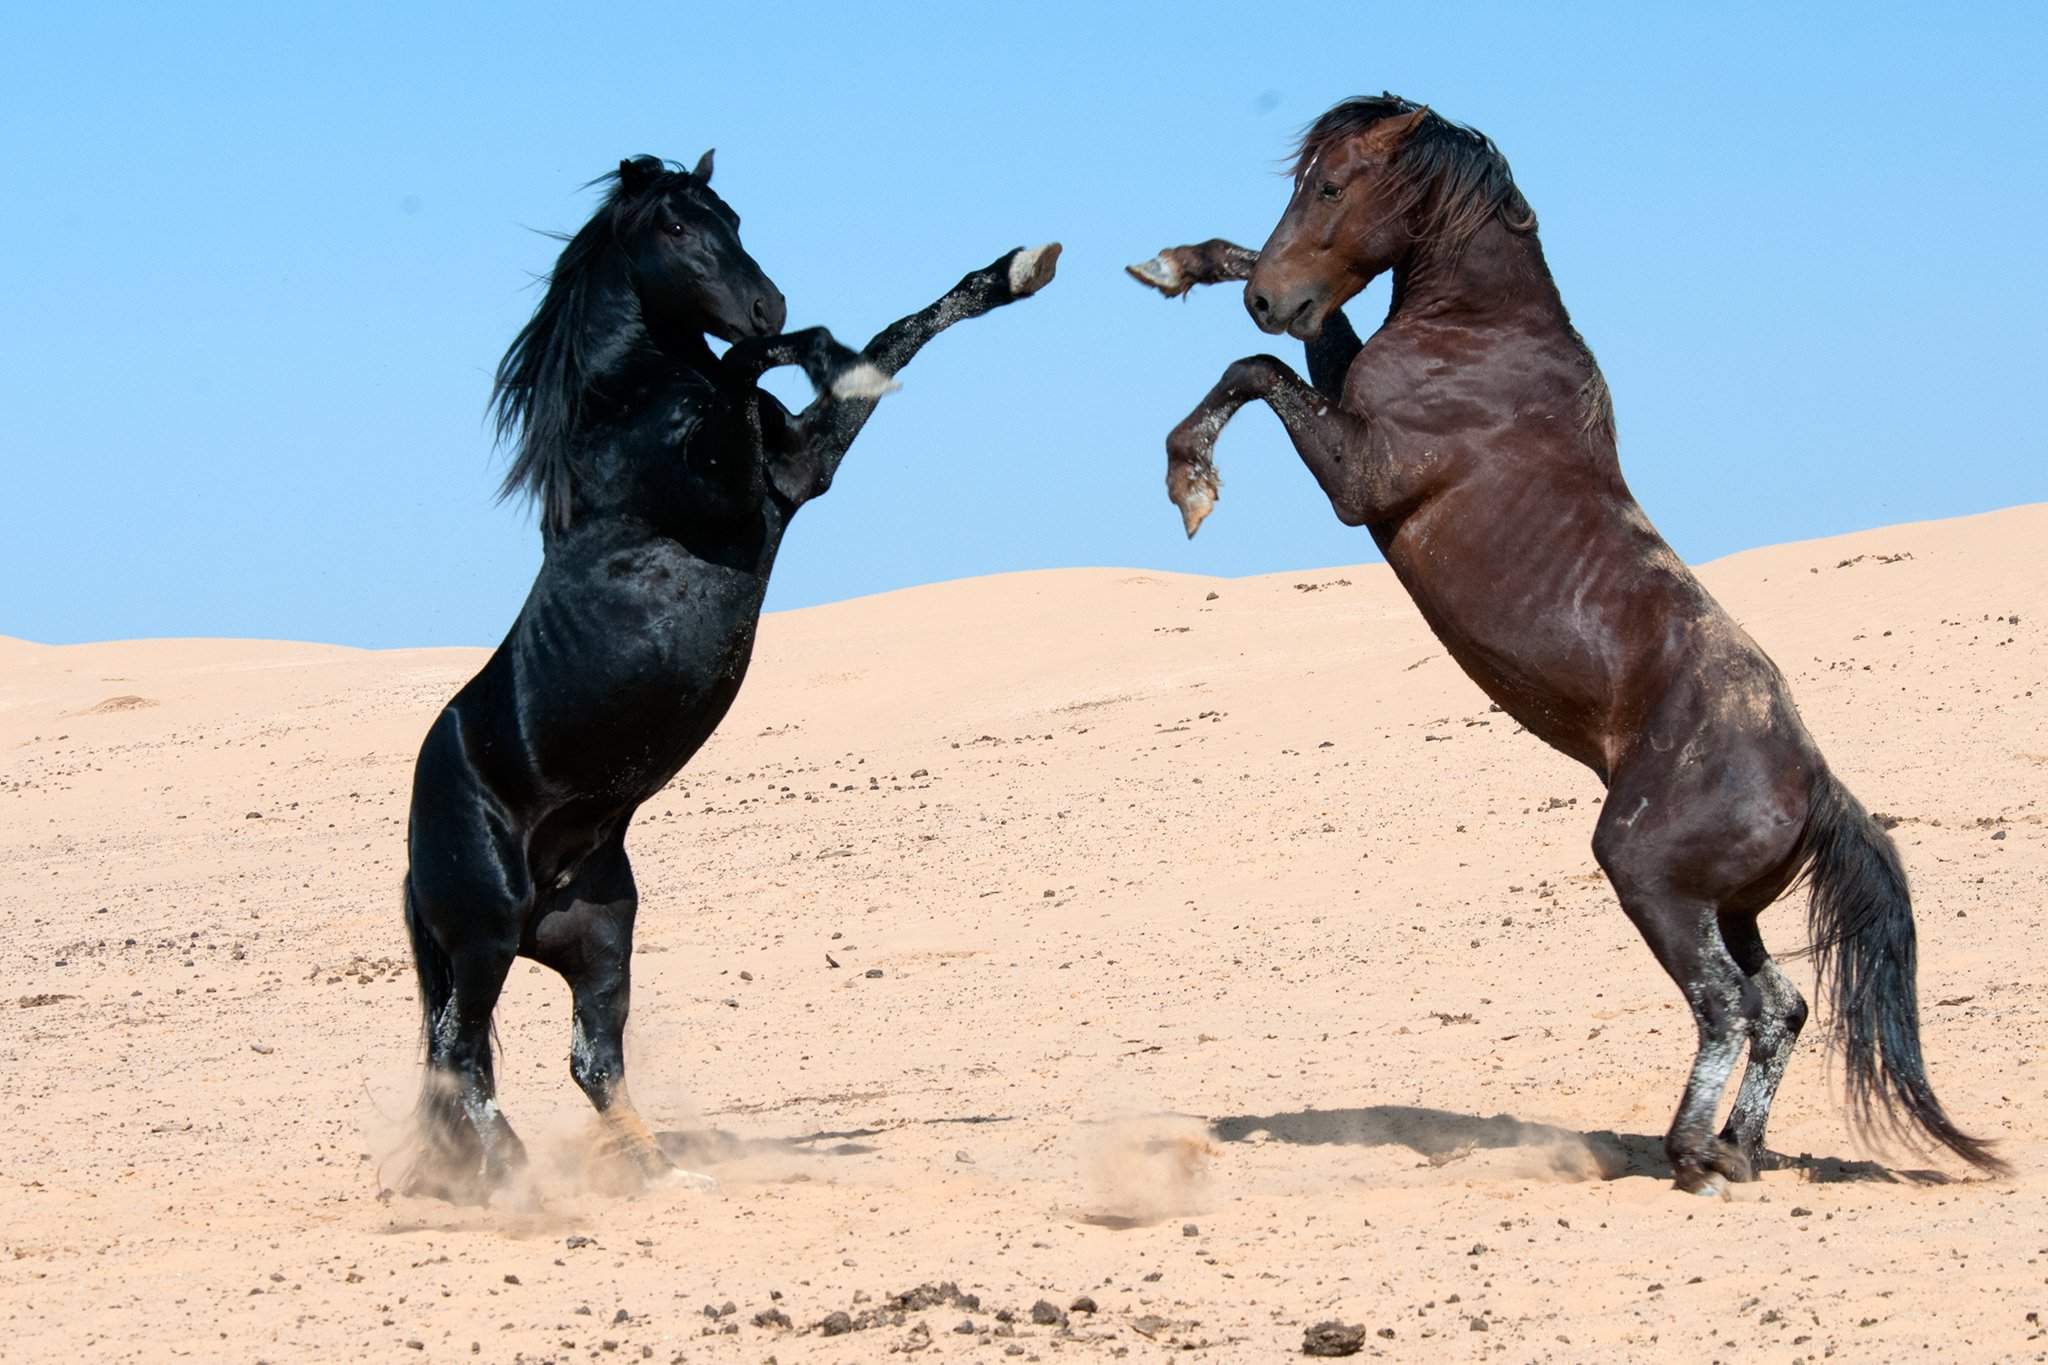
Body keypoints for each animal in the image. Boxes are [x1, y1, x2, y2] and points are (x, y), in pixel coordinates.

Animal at [405, 147, 1064, 1195]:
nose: (764, 300)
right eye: (675, 227)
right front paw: (815, 346)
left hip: (598, 930)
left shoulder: (794, 468)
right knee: (462, 1056)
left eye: (734, 215)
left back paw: (660, 1173)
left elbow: (892, 337)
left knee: (587, 1059)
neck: (626, 408)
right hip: (484, 934)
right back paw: (519, 1178)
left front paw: (1013, 270)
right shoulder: (758, 481)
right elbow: (773, 366)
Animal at [1122, 96, 1998, 1186]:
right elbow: (1305, 339)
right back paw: (1740, 1149)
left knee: (1727, 1005)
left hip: (1649, 875)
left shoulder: (1360, 475)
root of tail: (1815, 782)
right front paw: (1176, 264)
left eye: (1328, 187)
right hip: (1728, 905)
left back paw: (1691, 1150)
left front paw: (1189, 476)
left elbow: (1259, 371)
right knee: (1781, 1006)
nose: (1266, 298)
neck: (1480, 337)